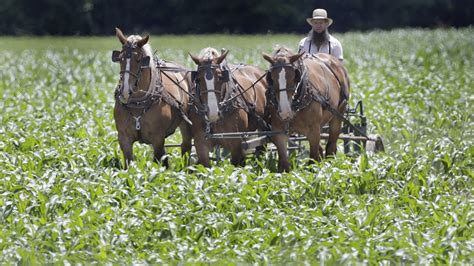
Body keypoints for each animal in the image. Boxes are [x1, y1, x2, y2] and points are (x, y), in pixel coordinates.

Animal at [112, 27, 192, 168]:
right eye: (120, 58)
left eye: (139, 60)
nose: (125, 91)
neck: (138, 103)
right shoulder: (123, 138)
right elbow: (128, 164)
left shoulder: (158, 138)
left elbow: (160, 161)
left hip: (186, 125)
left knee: (186, 147)